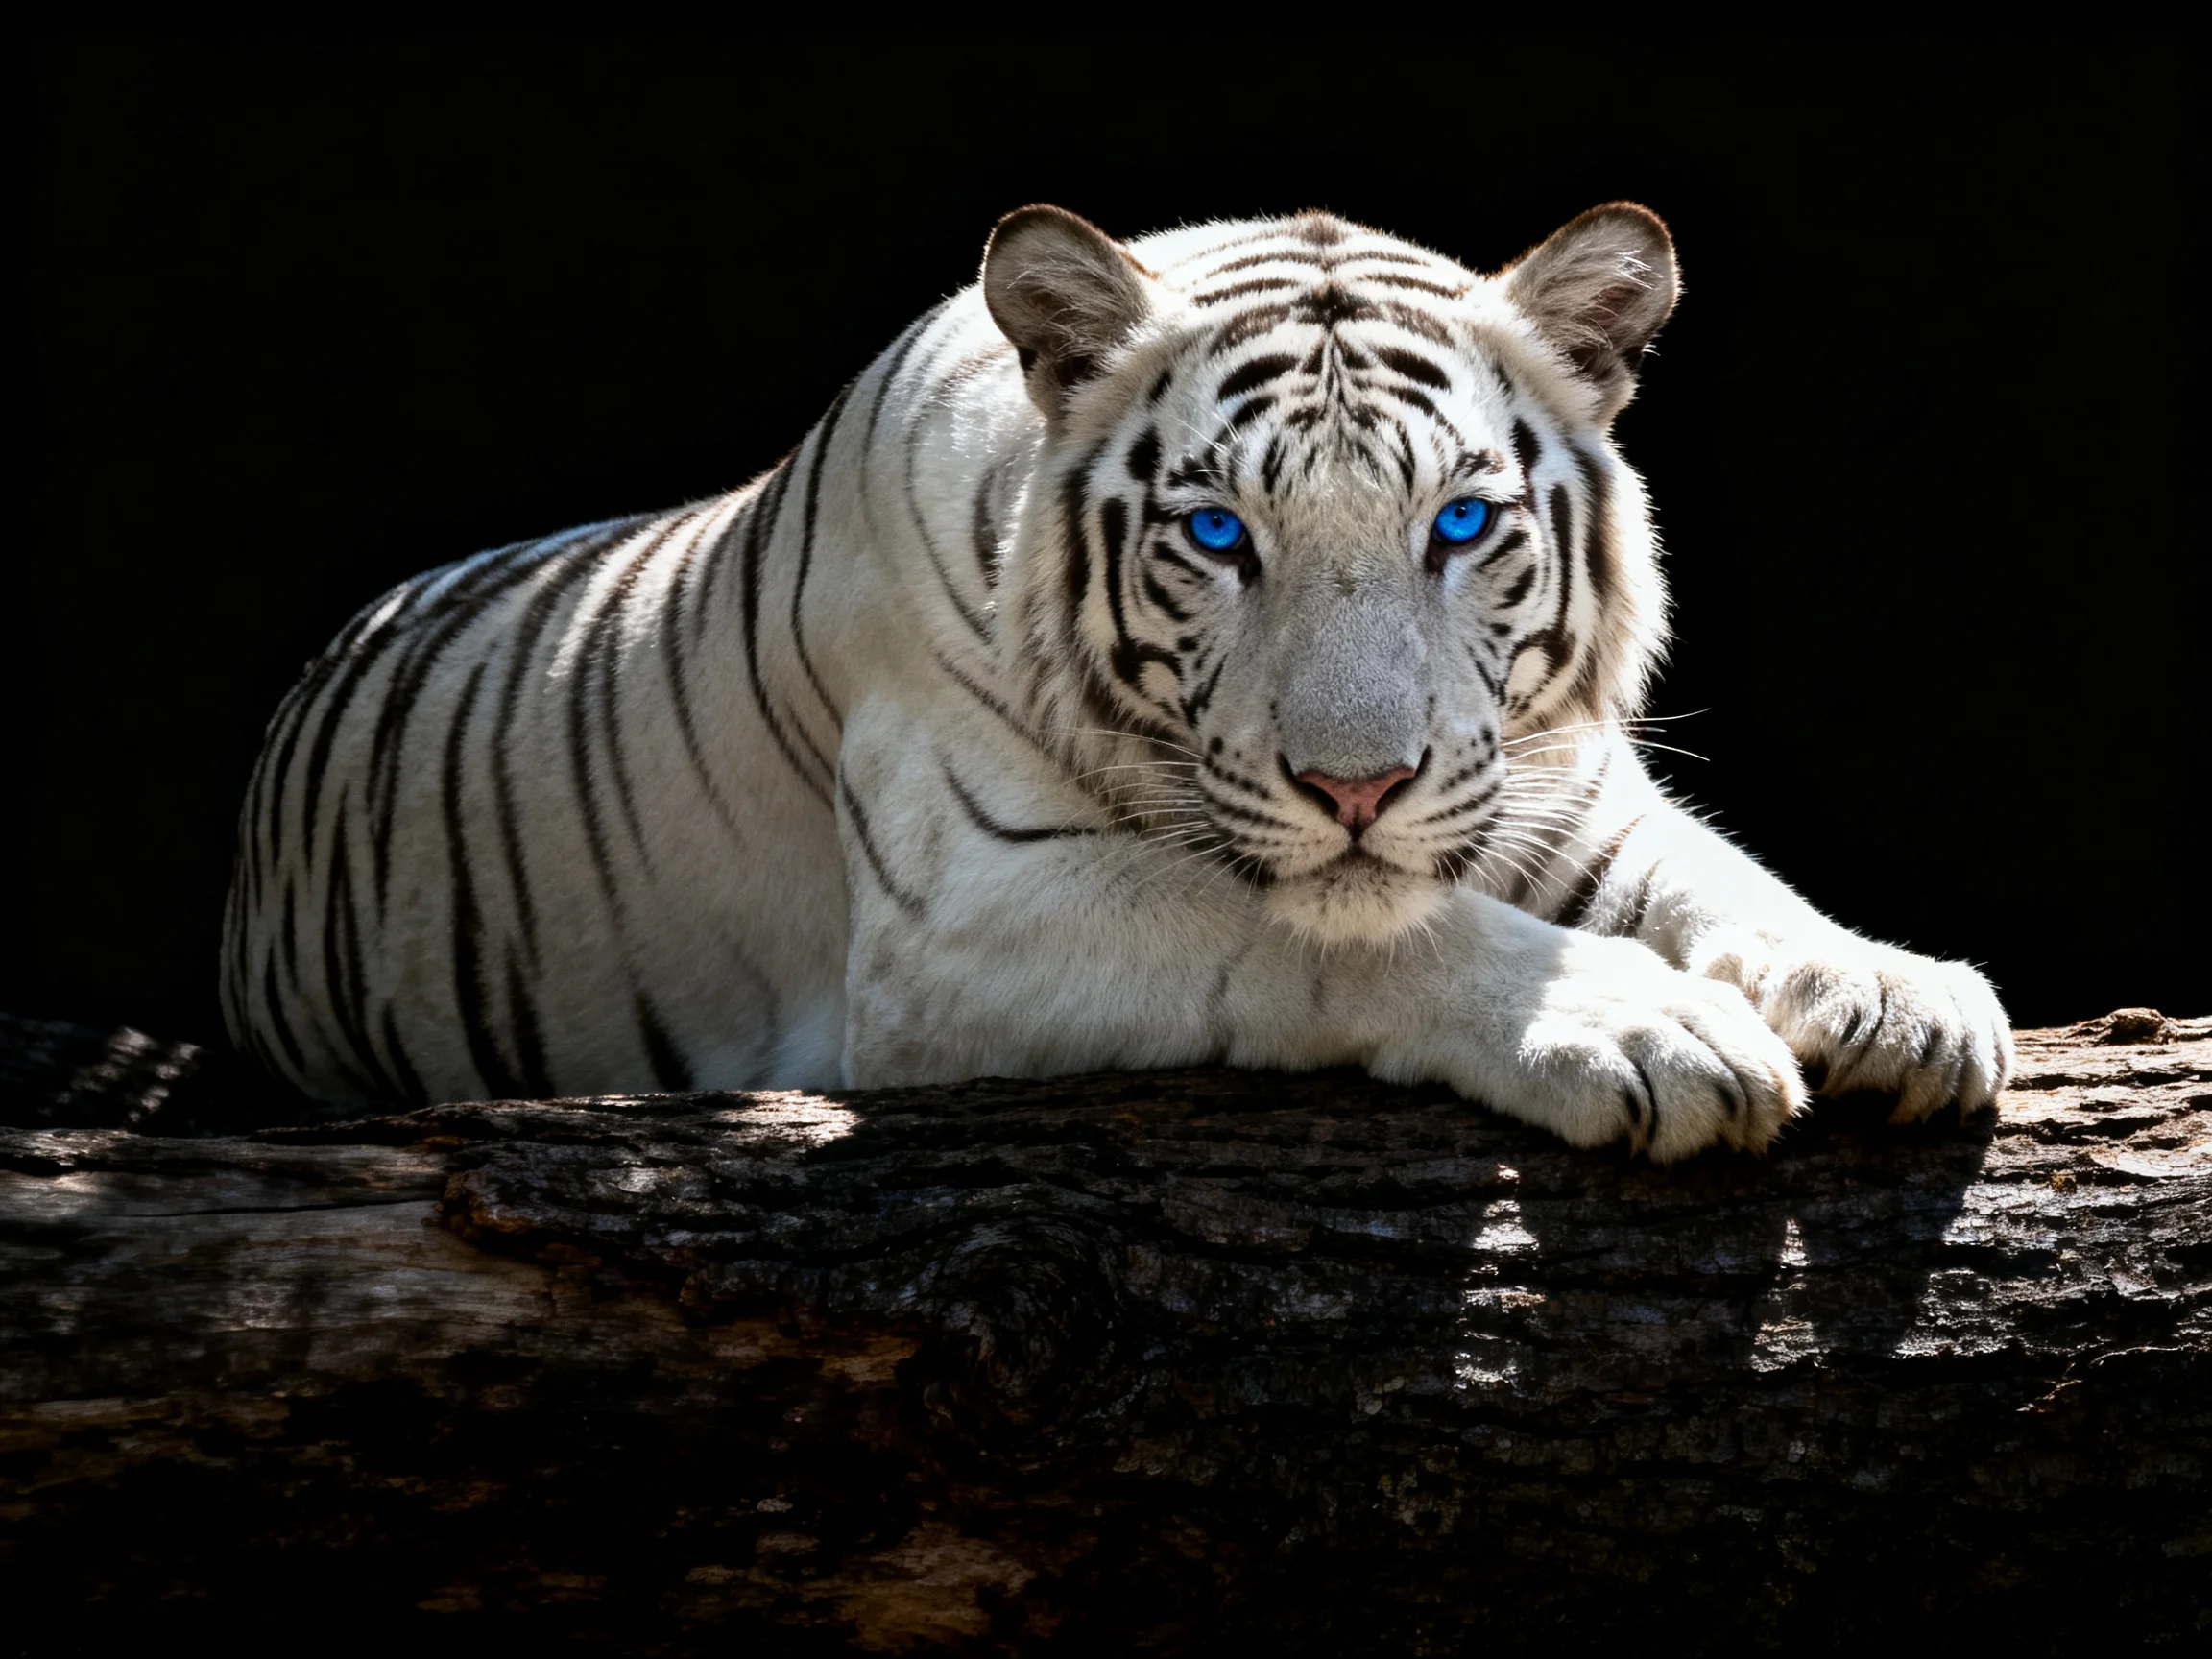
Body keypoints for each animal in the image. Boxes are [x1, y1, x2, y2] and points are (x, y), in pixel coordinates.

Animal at [222, 201, 2013, 1160]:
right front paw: (1639, 1026)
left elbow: (1716, 875)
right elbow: (1316, 929)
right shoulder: (961, 921)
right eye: (1218, 533)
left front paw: (1893, 991)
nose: (1356, 787)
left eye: (1457, 523)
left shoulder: (1549, 780)